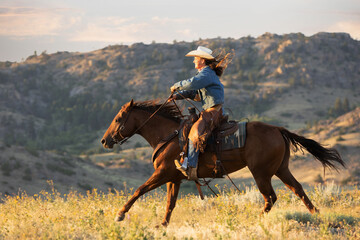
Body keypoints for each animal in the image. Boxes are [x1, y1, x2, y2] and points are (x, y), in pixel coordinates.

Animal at [100, 99, 344, 227]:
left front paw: (120, 214)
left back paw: (253, 221)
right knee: (298, 189)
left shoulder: (162, 173)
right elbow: (170, 203)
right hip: (281, 169)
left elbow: (139, 190)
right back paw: (317, 214)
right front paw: (163, 225)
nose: (104, 140)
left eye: (118, 119)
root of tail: (278, 129)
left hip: (261, 173)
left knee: (270, 197)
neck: (168, 135)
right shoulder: (174, 178)